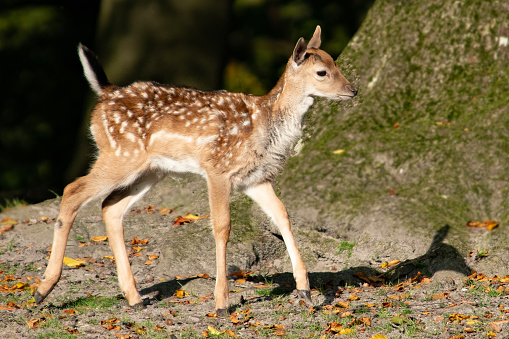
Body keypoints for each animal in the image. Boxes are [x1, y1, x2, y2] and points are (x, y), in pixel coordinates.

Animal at [33, 25, 356, 316]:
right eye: (322, 72)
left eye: (336, 63)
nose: (352, 90)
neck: (265, 127)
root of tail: (105, 93)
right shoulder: (218, 168)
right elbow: (222, 226)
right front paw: (222, 303)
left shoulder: (255, 178)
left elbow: (283, 215)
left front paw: (305, 291)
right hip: (119, 154)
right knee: (72, 190)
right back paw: (43, 289)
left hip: (150, 170)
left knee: (110, 206)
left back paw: (134, 298)